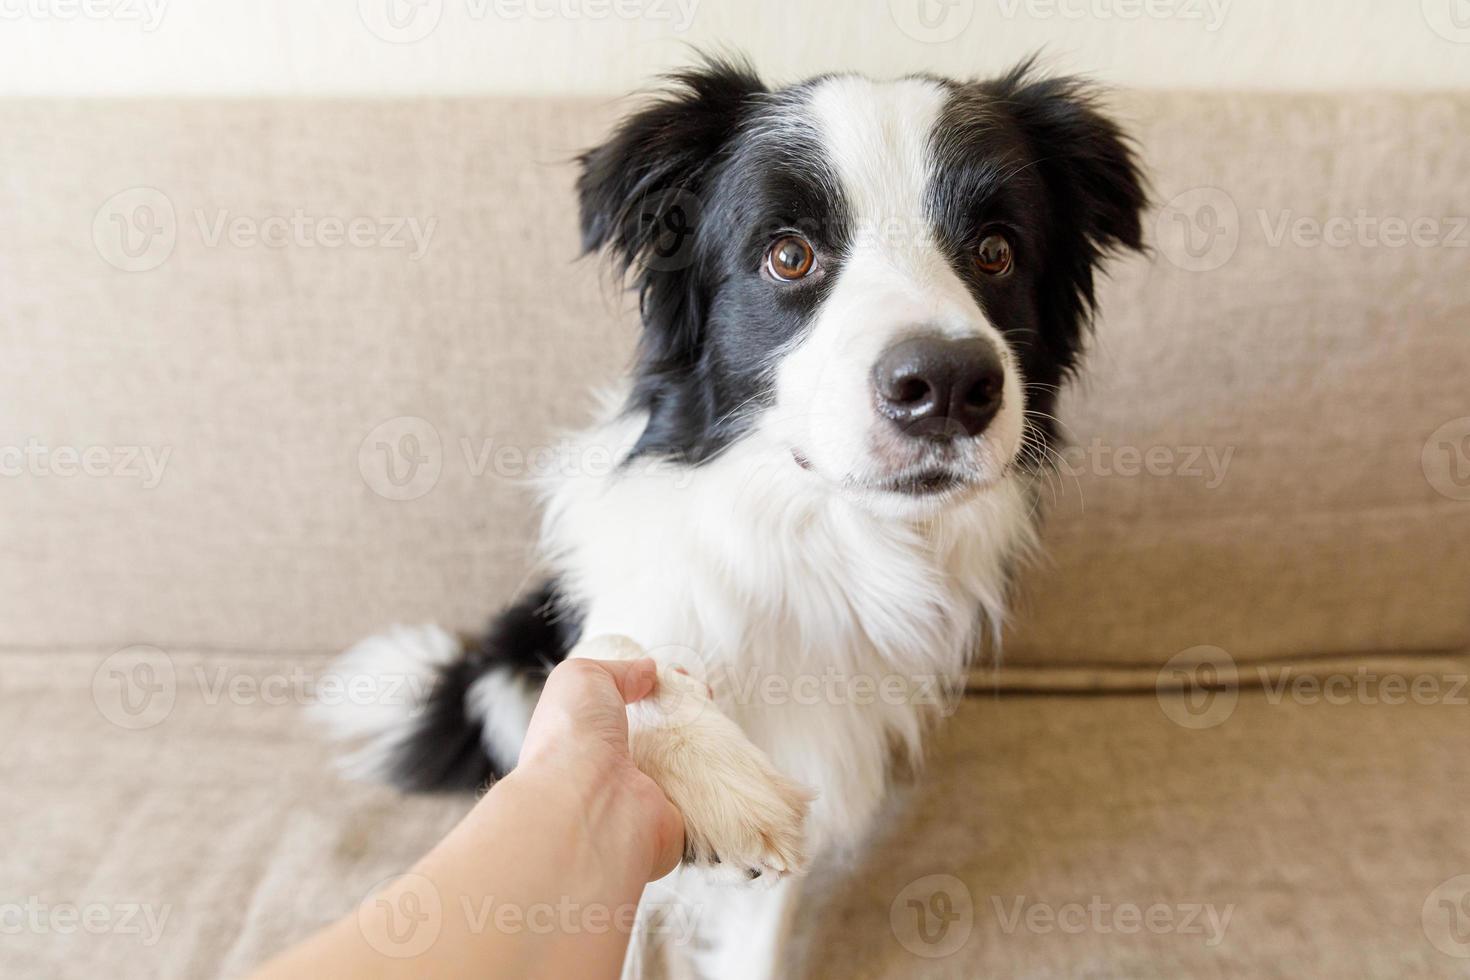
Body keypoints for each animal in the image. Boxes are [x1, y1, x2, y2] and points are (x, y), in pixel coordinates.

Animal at [321, 55, 1146, 980]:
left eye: (996, 251)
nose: (945, 385)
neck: (826, 541)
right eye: (789, 255)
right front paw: (717, 780)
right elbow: (627, 656)